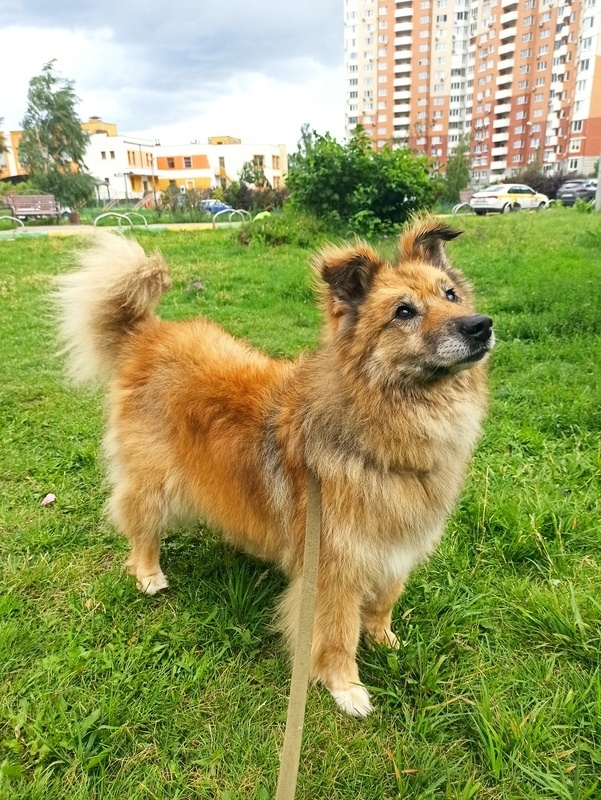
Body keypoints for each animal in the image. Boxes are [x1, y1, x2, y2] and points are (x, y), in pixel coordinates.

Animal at [57, 220, 492, 720]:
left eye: (451, 295)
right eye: (403, 311)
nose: (481, 326)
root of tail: (148, 332)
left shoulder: (396, 545)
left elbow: (384, 602)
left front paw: (384, 640)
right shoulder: (334, 569)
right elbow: (338, 634)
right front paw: (346, 687)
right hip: (153, 481)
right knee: (141, 526)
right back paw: (148, 574)